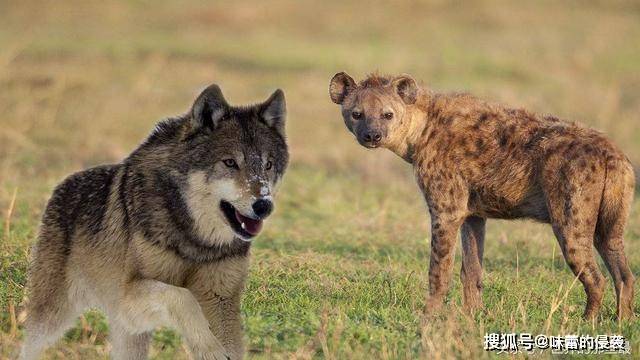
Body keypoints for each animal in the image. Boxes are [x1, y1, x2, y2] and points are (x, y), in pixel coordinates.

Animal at [20, 83, 288, 358]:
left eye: (268, 165)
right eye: (230, 162)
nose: (264, 205)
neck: (197, 243)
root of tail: (62, 183)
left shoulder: (221, 300)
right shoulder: (128, 298)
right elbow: (183, 297)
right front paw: (209, 348)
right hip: (52, 316)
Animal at [330, 71, 636, 320]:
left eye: (387, 114)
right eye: (357, 114)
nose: (372, 135)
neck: (421, 132)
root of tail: (613, 154)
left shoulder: (446, 209)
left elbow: (439, 268)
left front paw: (430, 314)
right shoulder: (472, 213)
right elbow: (472, 269)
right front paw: (472, 314)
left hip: (570, 215)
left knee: (595, 275)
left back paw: (588, 321)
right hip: (613, 214)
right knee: (621, 268)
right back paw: (622, 321)